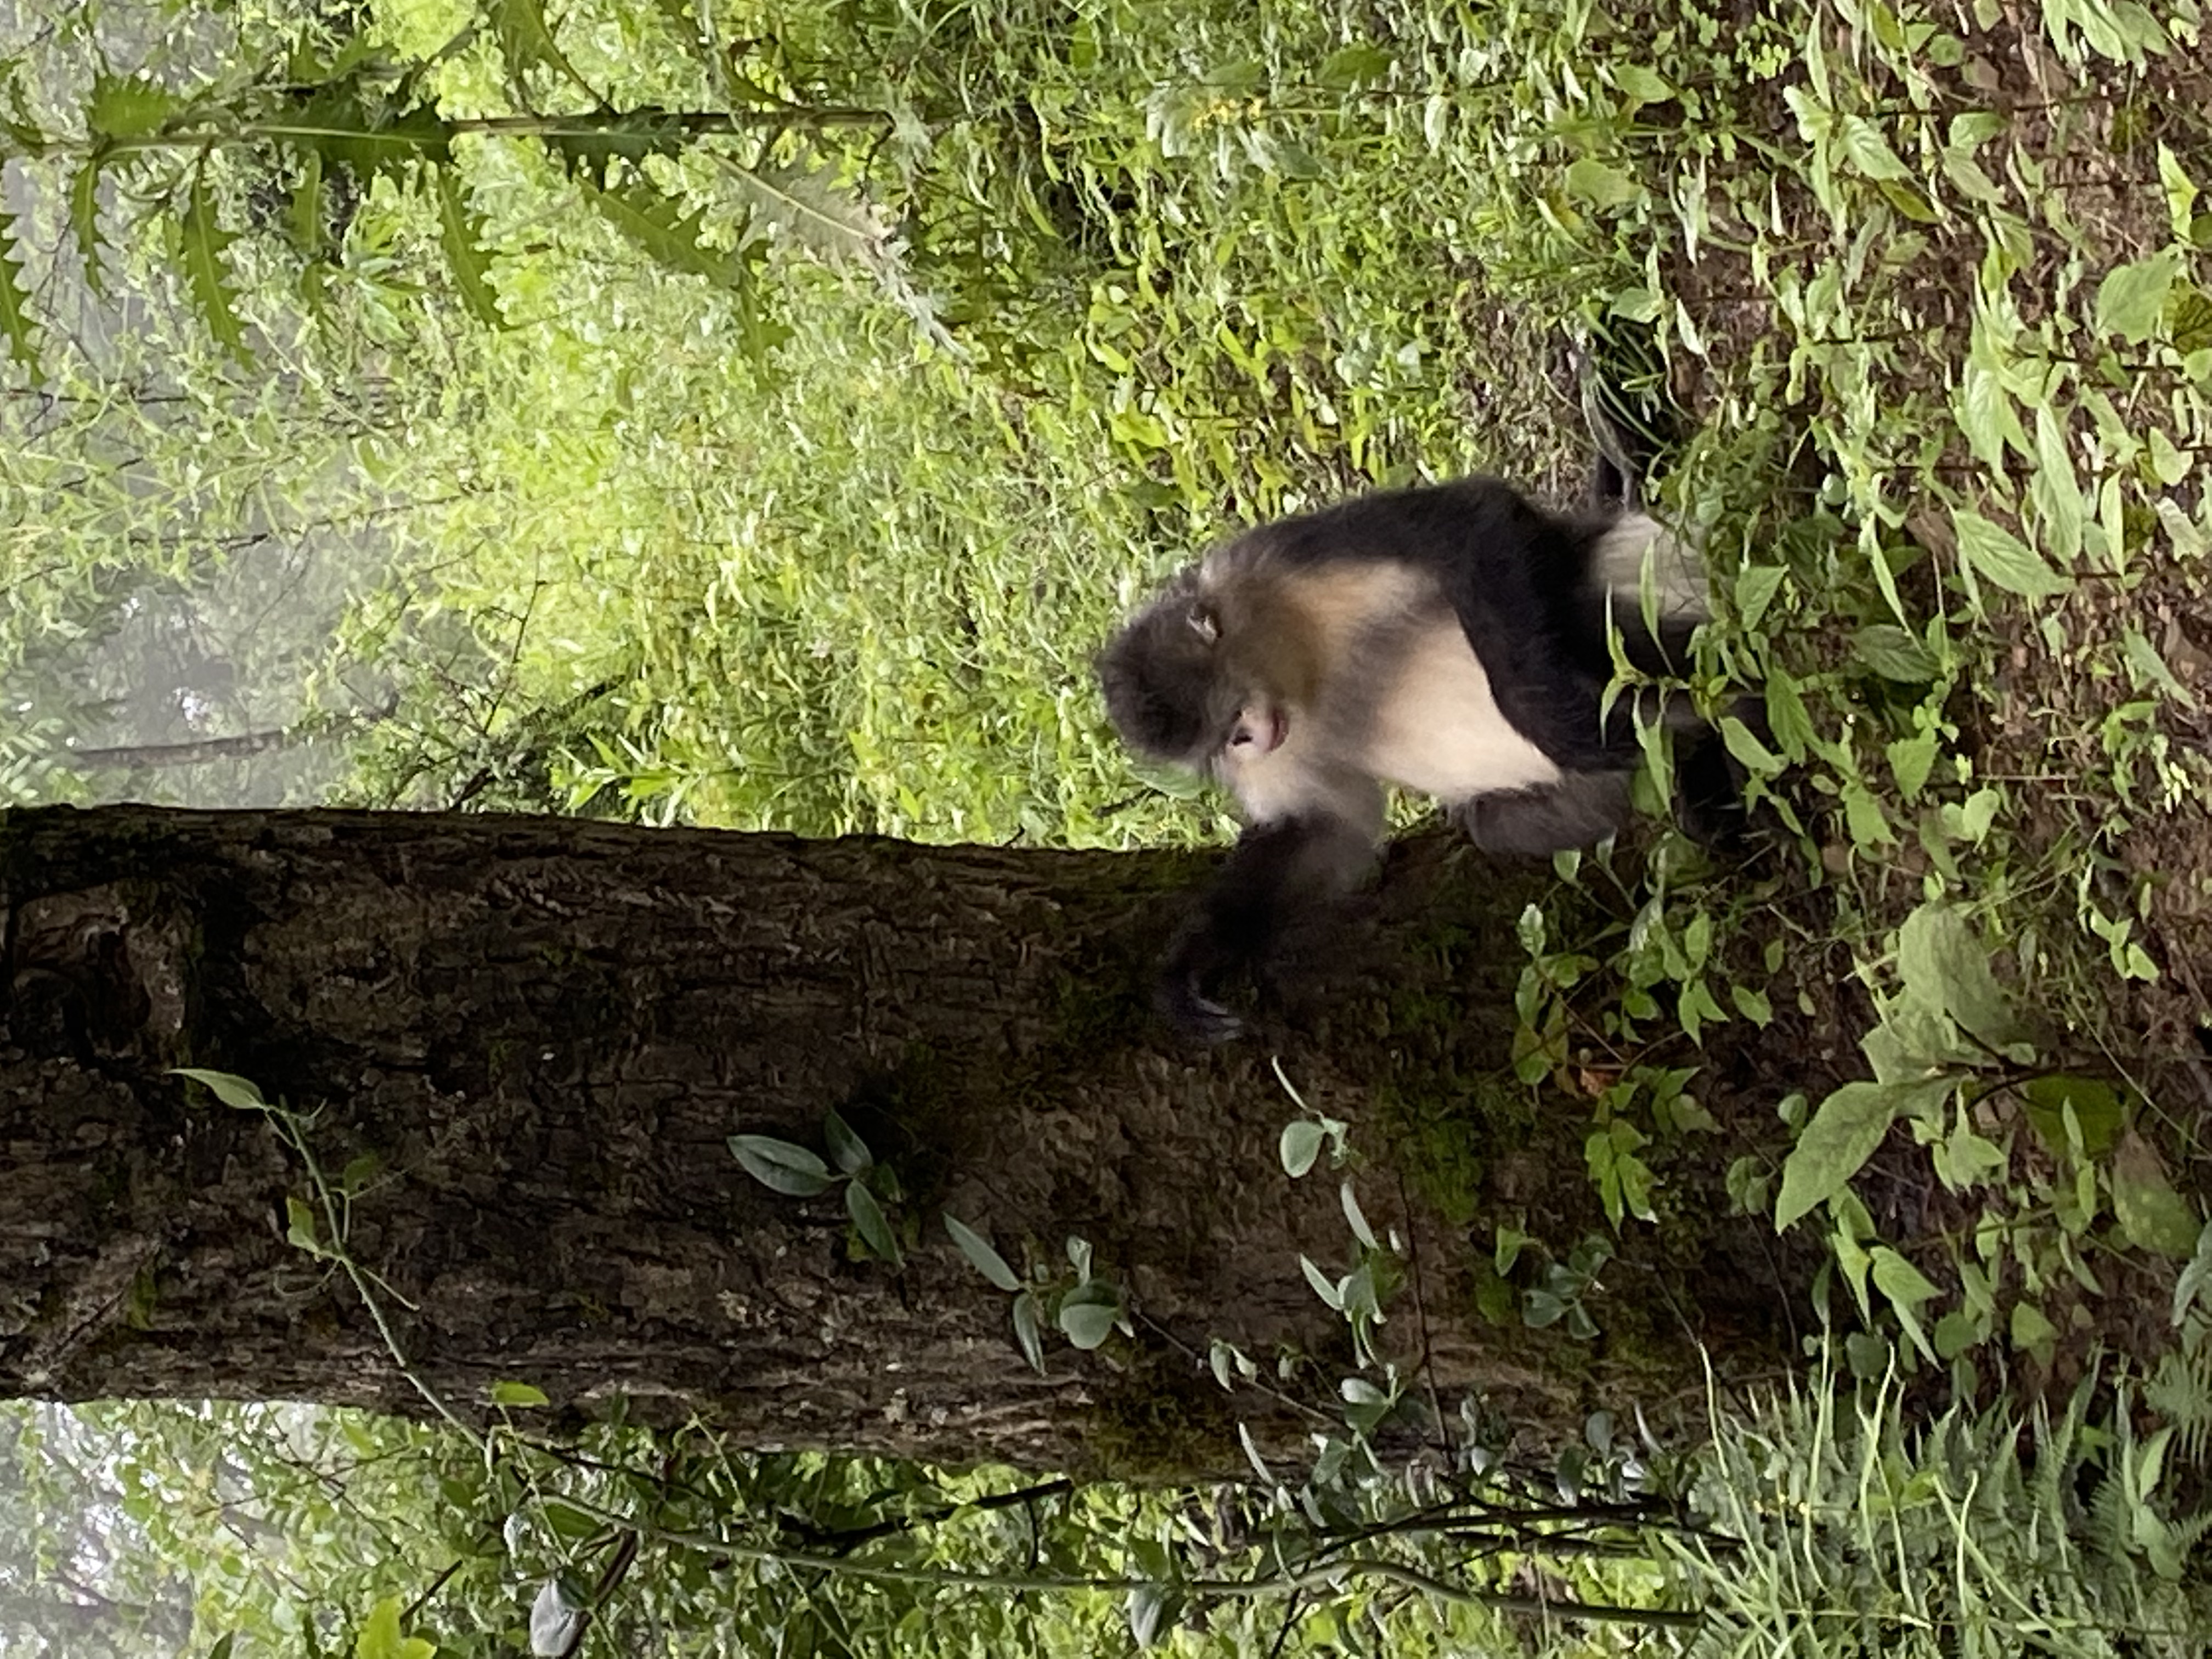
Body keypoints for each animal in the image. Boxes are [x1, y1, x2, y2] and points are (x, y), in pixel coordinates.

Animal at [1096, 473, 1728, 1039]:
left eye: (1232, 722)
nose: (1247, 742)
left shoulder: (1269, 562)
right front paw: (1191, 964)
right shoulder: (1286, 742)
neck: (1300, 673)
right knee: (1492, 823)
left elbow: (1471, 520)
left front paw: (1568, 730)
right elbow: (1329, 829)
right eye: (1222, 744)